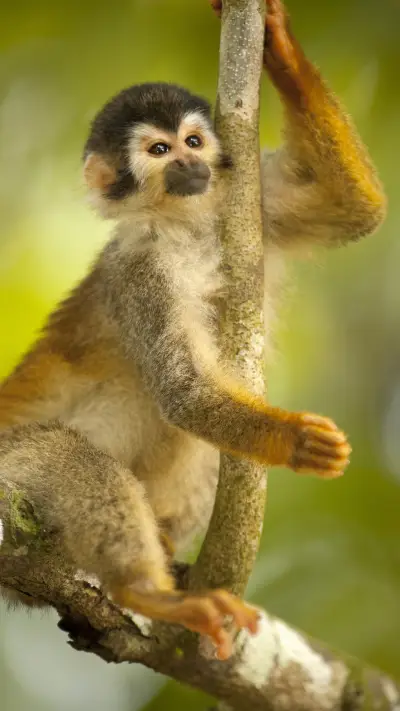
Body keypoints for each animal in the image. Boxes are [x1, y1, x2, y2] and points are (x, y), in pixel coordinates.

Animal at [0, 0, 385, 660]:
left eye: (195, 141)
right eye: (158, 150)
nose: (188, 164)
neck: (185, 227)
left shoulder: (252, 205)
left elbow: (356, 210)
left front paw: (281, 47)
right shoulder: (139, 273)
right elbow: (183, 393)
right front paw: (293, 440)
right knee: (65, 454)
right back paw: (145, 592)